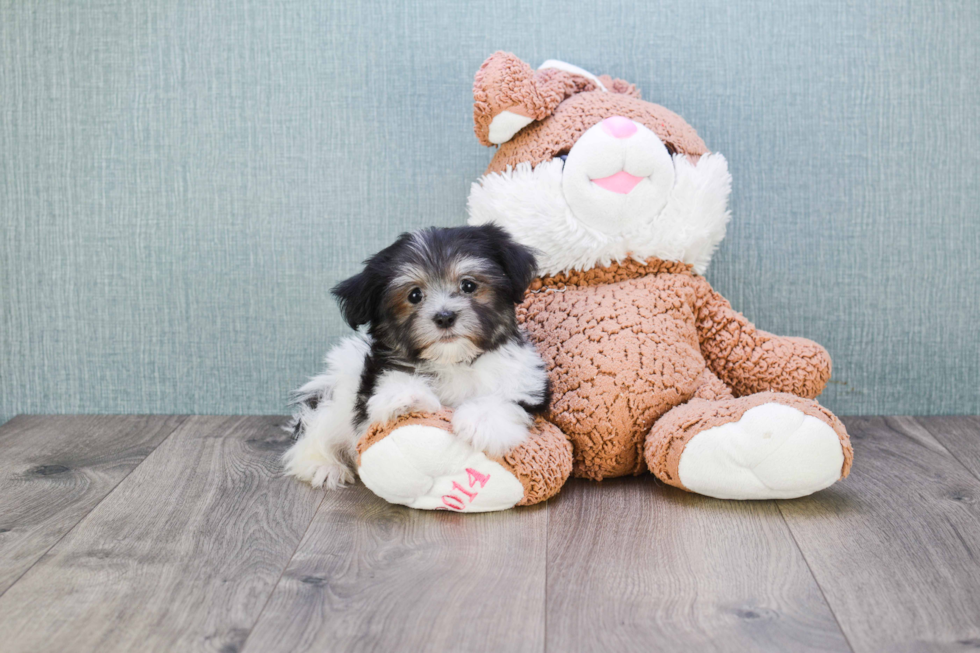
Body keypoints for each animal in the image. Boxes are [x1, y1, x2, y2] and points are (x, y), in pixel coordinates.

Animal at [286, 222, 552, 486]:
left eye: (468, 285)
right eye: (414, 295)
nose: (444, 317)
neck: (453, 360)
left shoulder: (523, 380)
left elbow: (506, 400)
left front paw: (480, 421)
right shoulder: (375, 385)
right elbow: (390, 388)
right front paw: (406, 397)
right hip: (337, 391)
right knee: (315, 428)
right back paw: (323, 466)